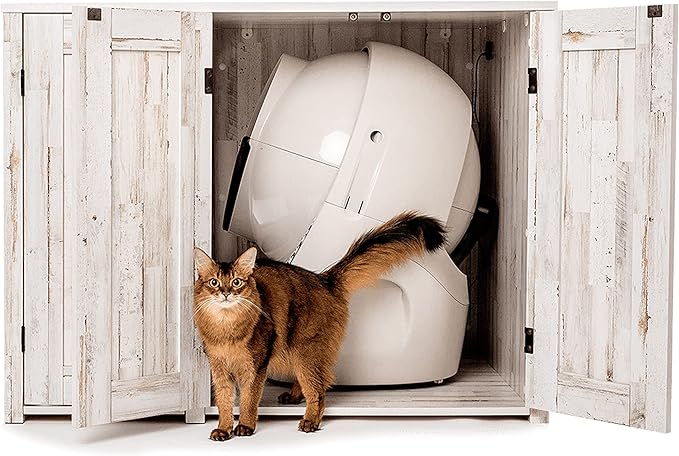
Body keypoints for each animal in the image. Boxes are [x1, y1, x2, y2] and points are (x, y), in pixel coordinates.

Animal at [191, 212, 448, 440]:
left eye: (237, 282)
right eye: (214, 282)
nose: (226, 293)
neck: (226, 329)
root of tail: (325, 279)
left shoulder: (255, 366)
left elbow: (248, 400)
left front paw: (244, 426)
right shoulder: (219, 369)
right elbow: (224, 403)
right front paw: (223, 429)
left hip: (307, 349)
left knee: (319, 389)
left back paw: (310, 421)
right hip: (296, 350)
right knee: (310, 381)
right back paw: (294, 397)